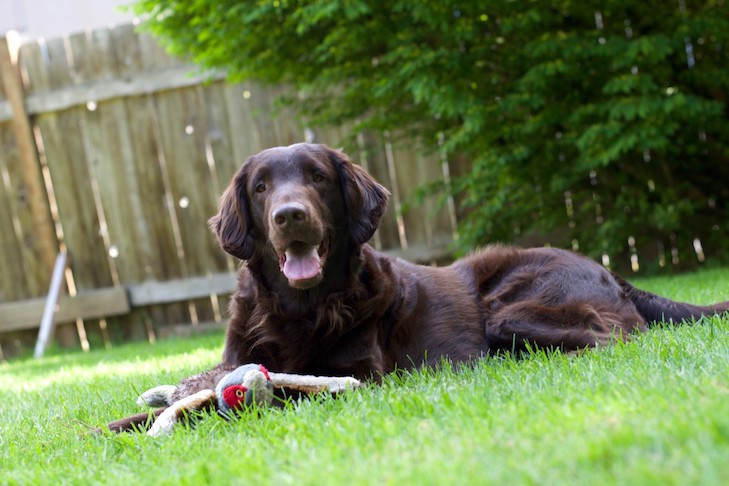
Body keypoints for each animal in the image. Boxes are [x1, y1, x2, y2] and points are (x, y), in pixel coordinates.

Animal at [99, 142, 724, 434]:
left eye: (317, 178)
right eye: (260, 187)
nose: (290, 215)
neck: (302, 309)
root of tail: (610, 271)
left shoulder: (360, 377)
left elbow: (276, 392)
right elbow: (189, 394)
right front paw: (109, 428)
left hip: (510, 309)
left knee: (613, 337)